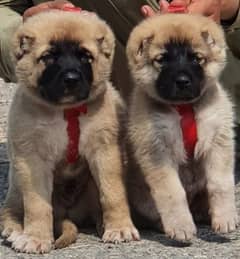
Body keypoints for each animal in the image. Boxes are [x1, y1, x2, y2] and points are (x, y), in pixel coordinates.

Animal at [0, 11, 139, 255]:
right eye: (48, 57)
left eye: (85, 57)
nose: (71, 79)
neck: (66, 111)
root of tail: (68, 213)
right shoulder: (32, 160)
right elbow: (37, 204)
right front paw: (35, 237)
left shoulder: (105, 152)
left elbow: (113, 193)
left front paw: (120, 227)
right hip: (17, 179)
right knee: (12, 209)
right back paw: (15, 230)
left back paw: (103, 223)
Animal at [125, 13, 238, 243]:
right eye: (161, 59)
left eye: (196, 58)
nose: (182, 81)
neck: (184, 107)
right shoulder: (157, 149)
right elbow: (172, 192)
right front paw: (181, 226)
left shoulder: (218, 141)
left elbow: (221, 183)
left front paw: (226, 217)